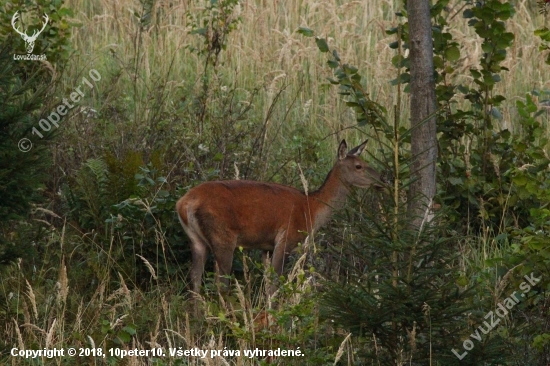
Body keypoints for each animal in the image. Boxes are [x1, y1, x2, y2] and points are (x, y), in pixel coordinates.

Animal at [178, 139, 384, 296]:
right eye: (359, 166)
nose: (383, 180)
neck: (311, 209)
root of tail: (184, 203)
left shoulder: (266, 247)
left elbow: (268, 282)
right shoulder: (287, 238)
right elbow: (275, 283)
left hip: (195, 240)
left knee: (195, 279)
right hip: (222, 236)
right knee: (221, 282)